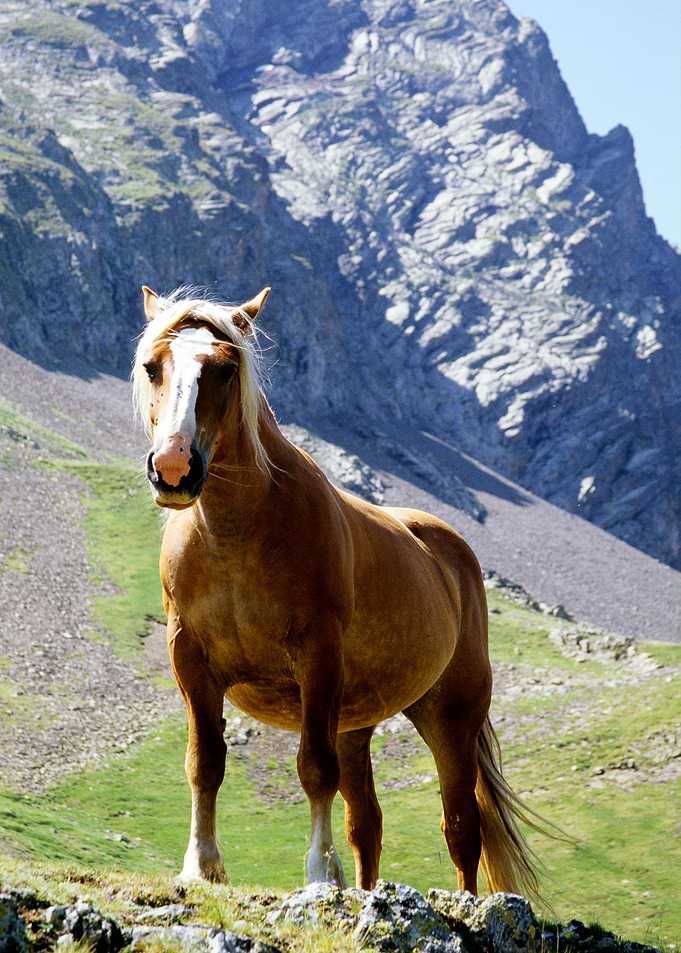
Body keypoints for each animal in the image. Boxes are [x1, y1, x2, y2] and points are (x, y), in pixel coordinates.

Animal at [132, 284, 541, 897]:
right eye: (153, 366)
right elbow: (205, 762)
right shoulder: (191, 660)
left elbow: (313, 769)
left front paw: (320, 874)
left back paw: (466, 899)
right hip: (356, 723)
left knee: (461, 828)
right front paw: (201, 867)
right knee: (367, 824)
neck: (235, 535)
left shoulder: (317, 660)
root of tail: (452, 553)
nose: (175, 467)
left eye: (226, 370)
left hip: (450, 718)